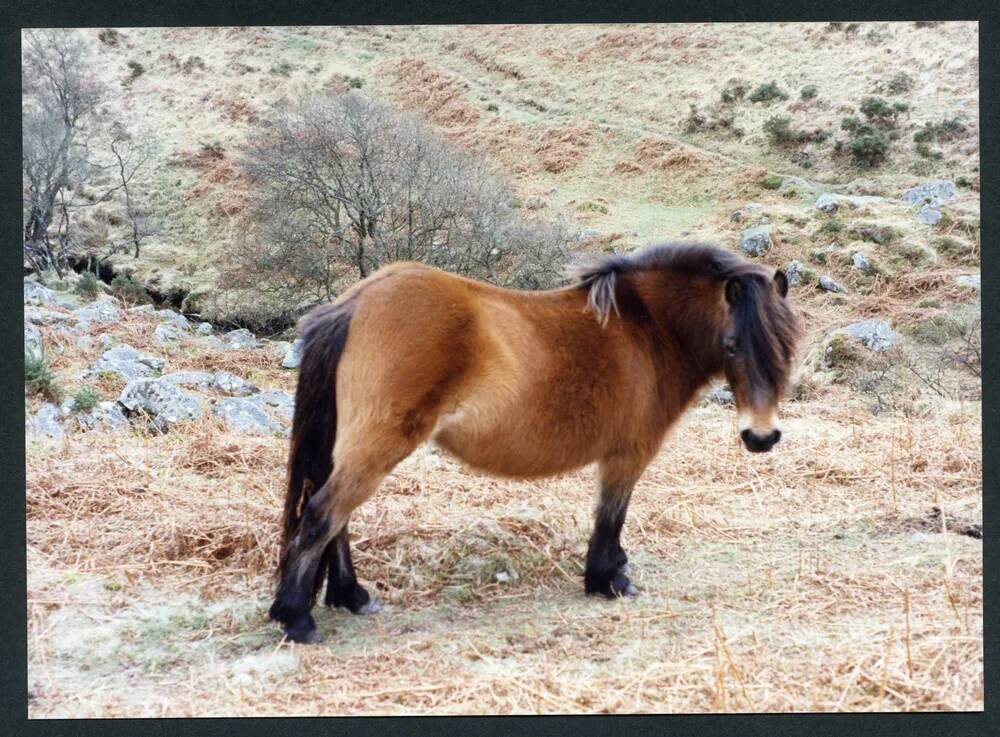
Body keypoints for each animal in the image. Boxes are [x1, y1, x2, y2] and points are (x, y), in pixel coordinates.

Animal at [266, 240, 804, 640]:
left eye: (785, 347)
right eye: (733, 346)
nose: (761, 437)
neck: (646, 328)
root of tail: (355, 302)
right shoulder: (629, 454)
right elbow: (611, 517)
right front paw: (608, 580)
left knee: (336, 517)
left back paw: (351, 597)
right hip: (378, 445)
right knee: (323, 514)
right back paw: (298, 619)